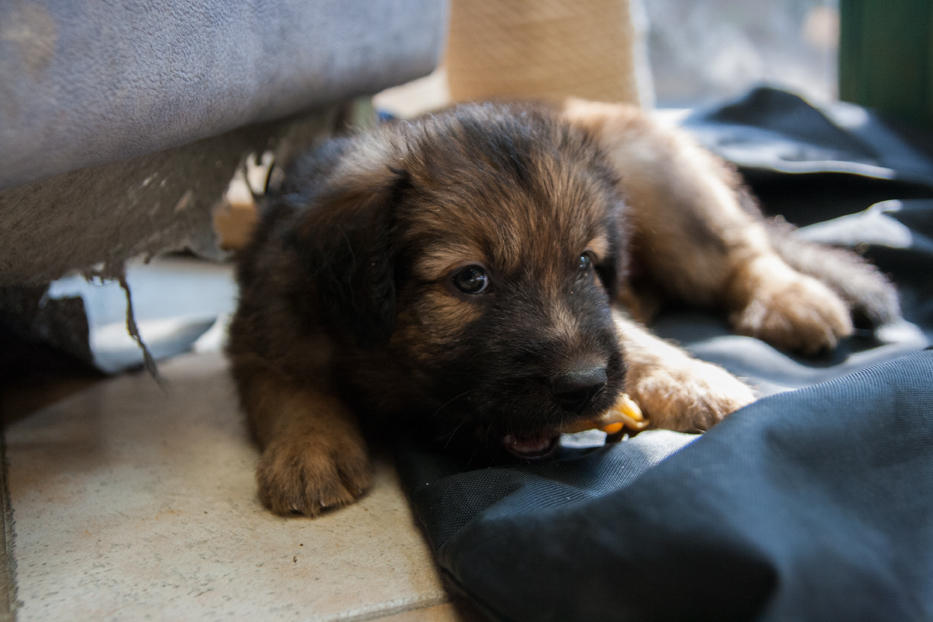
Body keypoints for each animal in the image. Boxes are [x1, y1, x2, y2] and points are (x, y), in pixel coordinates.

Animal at [227, 99, 899, 516]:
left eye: (582, 262)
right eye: (471, 280)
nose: (583, 386)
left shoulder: (606, 316)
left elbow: (633, 339)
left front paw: (695, 382)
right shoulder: (266, 334)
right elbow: (294, 391)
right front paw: (309, 449)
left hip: (667, 191)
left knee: (742, 252)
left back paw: (796, 299)